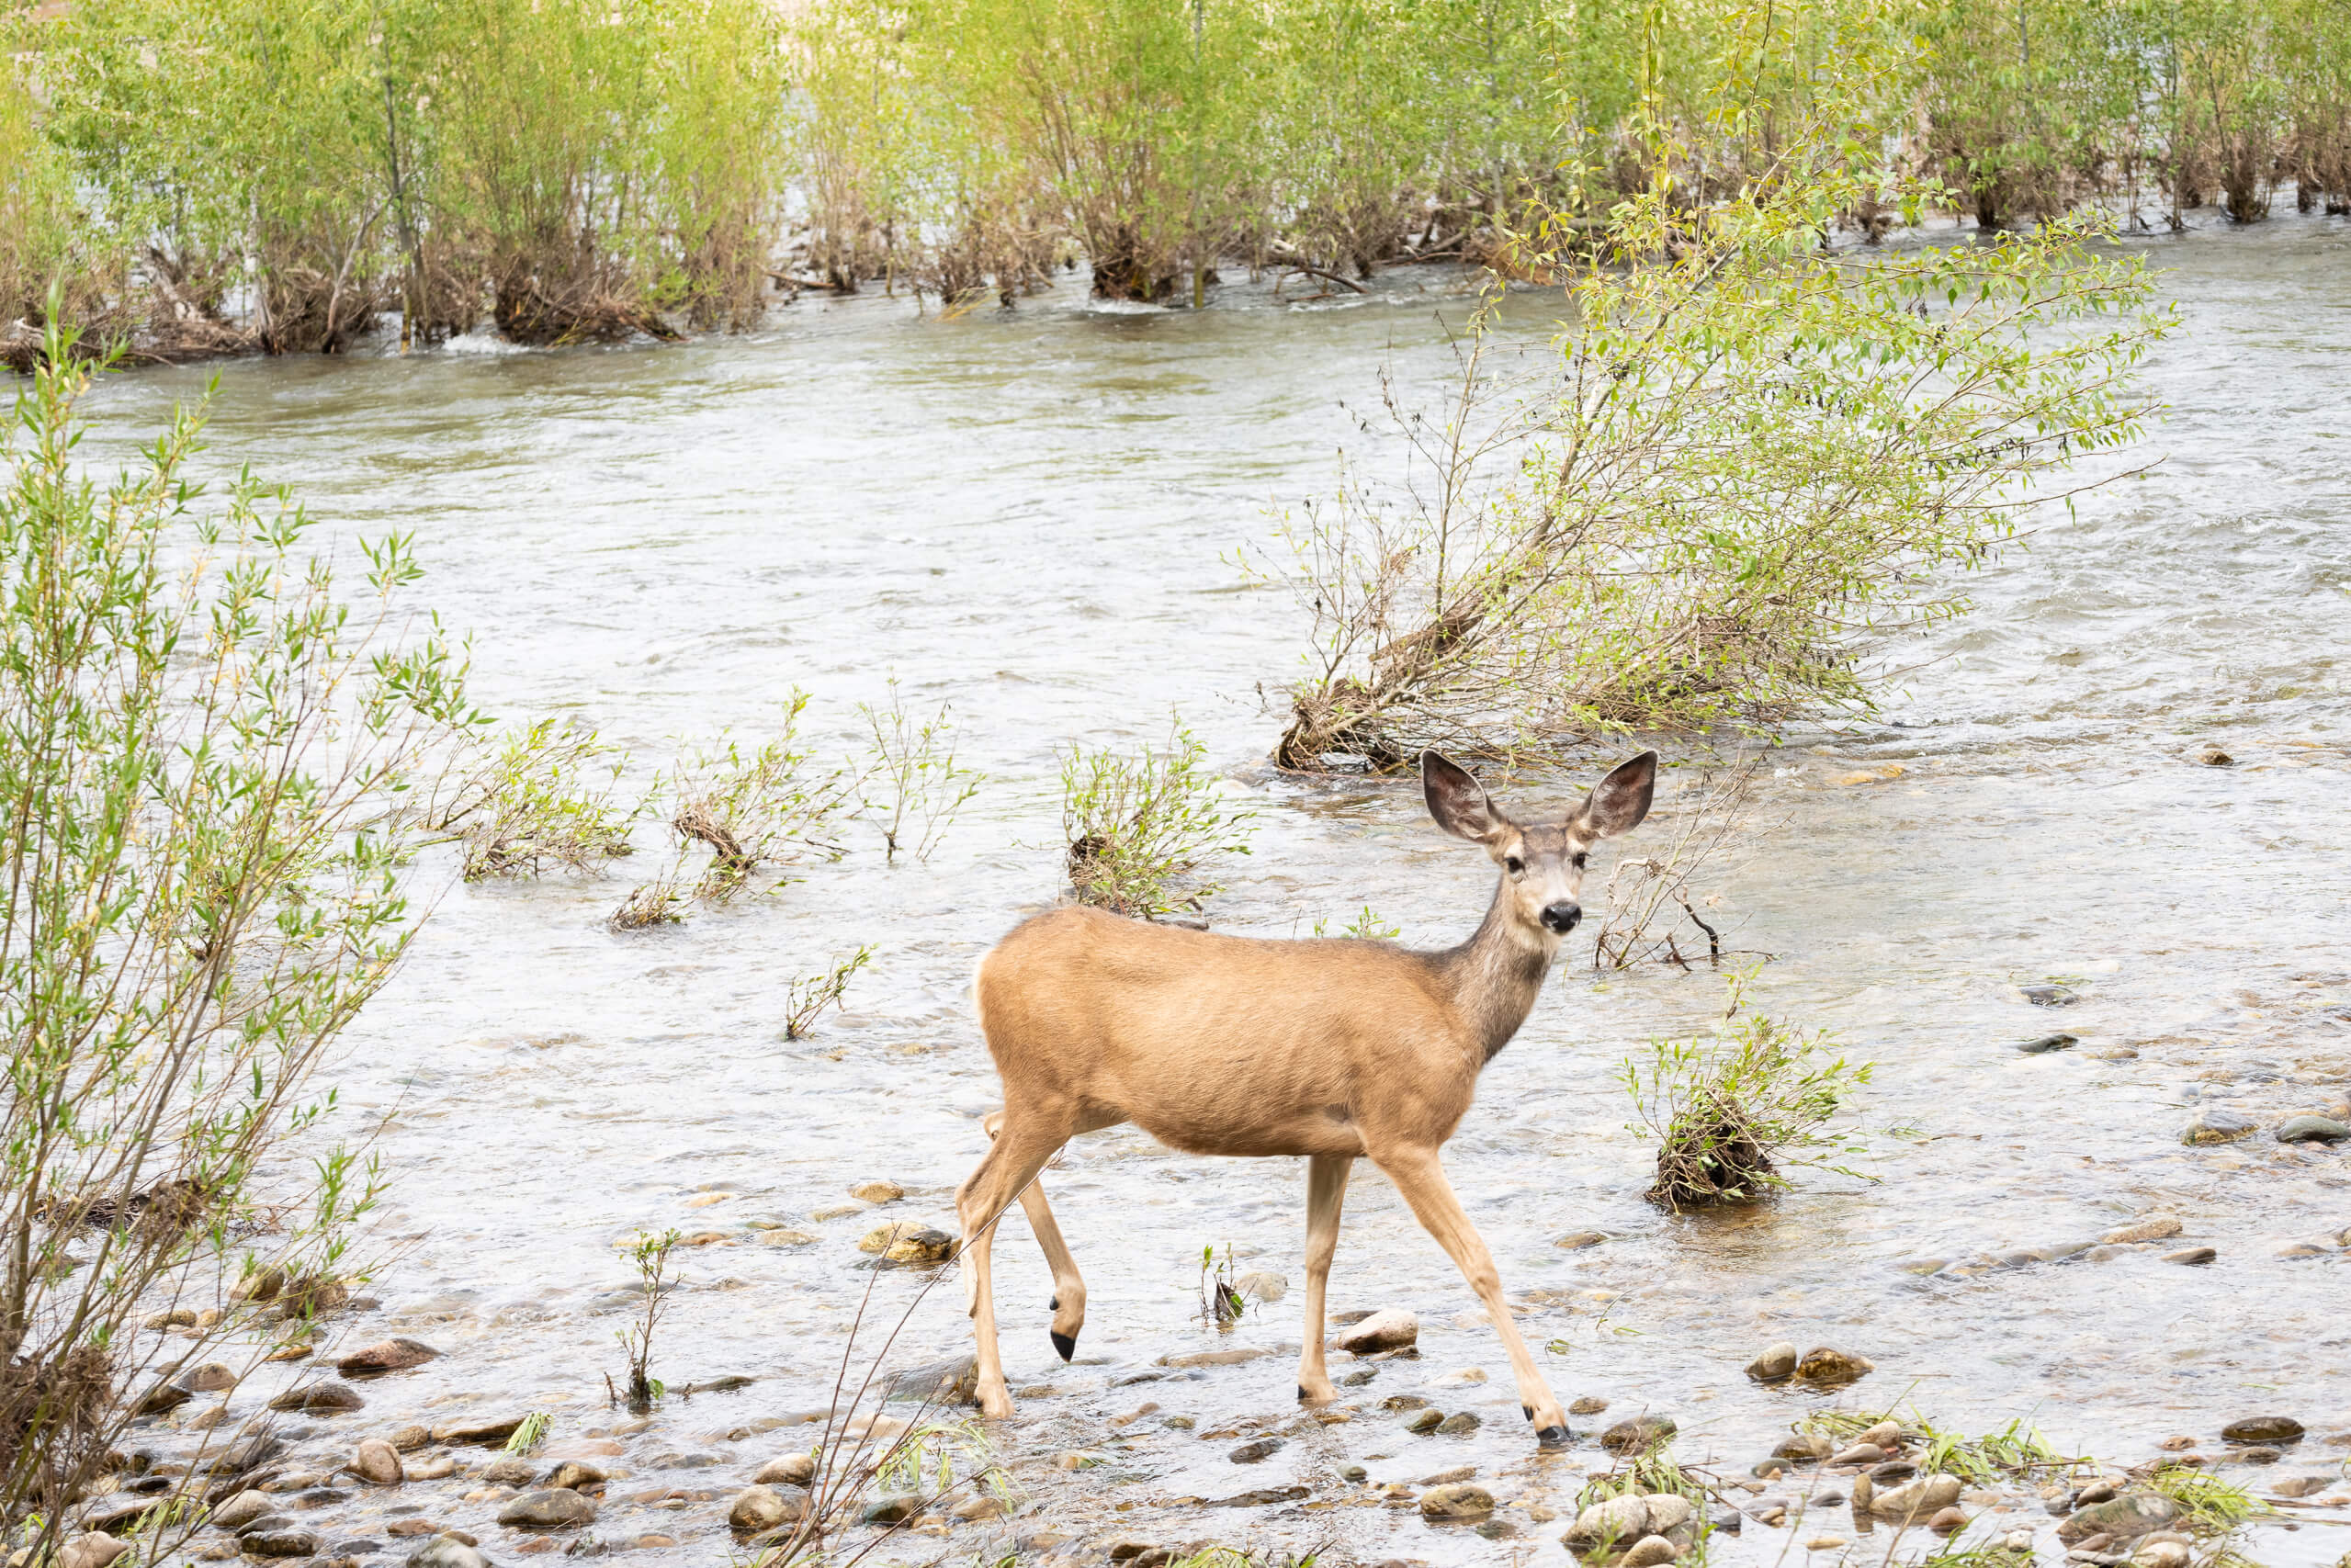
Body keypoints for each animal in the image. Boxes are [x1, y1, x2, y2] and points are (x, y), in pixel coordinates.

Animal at [949, 747, 1655, 1448]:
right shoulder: (1402, 1132)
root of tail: (985, 965)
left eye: (1581, 856)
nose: (1561, 913)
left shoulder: (1335, 1141)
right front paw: (1546, 1412)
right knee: (976, 1197)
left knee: (989, 1130)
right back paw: (995, 1391)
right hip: (1046, 1089)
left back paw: (1064, 1319)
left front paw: (1313, 1385)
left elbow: (1319, 1252)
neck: (1453, 1012)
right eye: (1511, 861)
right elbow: (1479, 1261)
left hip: (1077, 1099)